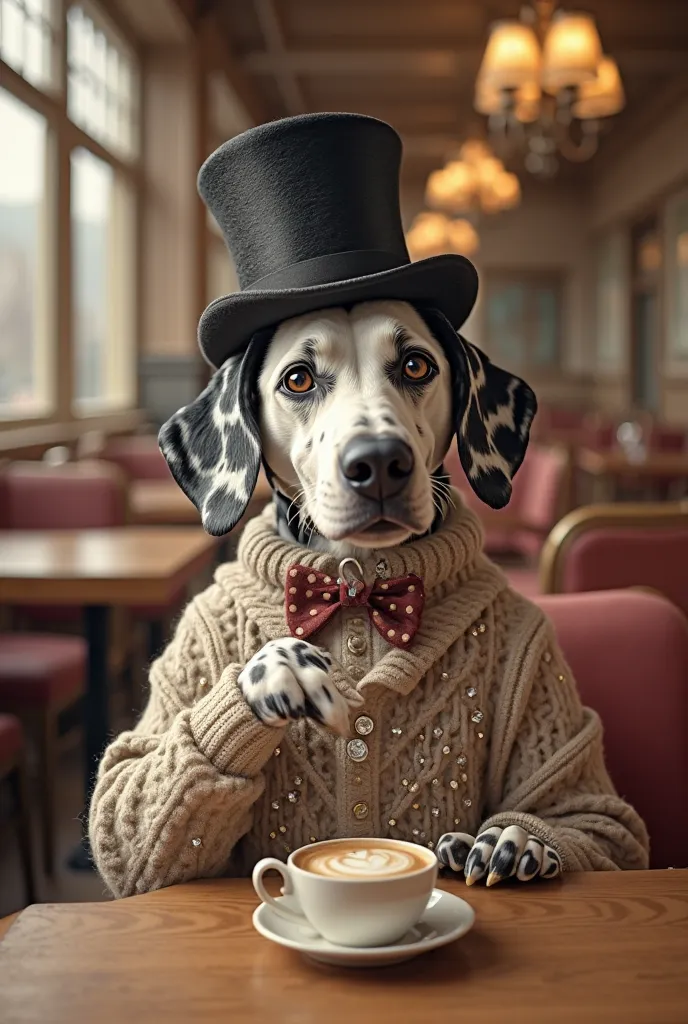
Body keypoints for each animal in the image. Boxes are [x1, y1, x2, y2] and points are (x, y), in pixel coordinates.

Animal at [161, 299, 548, 888]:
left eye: (416, 365)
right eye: (298, 378)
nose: (380, 462)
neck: (360, 583)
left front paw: (517, 836)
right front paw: (284, 666)